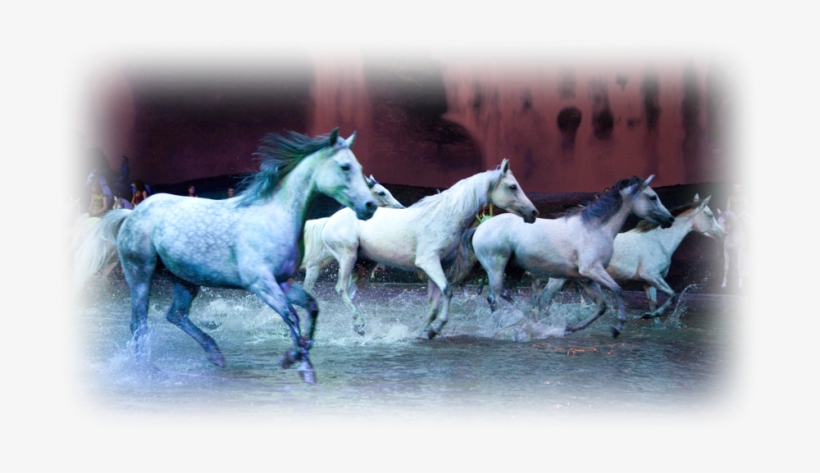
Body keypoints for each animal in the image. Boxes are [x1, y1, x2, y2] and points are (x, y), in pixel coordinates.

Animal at [78, 128, 377, 384]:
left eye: (361, 168)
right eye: (345, 167)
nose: (370, 206)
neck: (274, 217)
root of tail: (132, 213)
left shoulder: (284, 282)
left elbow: (312, 308)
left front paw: (294, 356)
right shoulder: (260, 284)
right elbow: (291, 316)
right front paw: (303, 367)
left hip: (185, 279)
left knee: (175, 315)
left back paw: (214, 354)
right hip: (139, 272)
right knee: (138, 322)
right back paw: (145, 369)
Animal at [321, 159, 539, 338]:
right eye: (512, 186)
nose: (533, 212)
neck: (444, 216)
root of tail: (330, 220)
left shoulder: (437, 266)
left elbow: (434, 305)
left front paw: (422, 332)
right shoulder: (429, 262)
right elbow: (447, 291)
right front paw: (435, 329)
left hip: (363, 265)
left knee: (350, 291)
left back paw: (357, 326)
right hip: (347, 256)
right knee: (341, 289)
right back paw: (359, 323)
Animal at [471, 175, 674, 338]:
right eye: (653, 197)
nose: (670, 219)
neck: (595, 229)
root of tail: (479, 228)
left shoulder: (586, 278)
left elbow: (602, 306)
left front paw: (569, 328)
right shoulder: (592, 270)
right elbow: (618, 290)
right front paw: (618, 328)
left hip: (510, 271)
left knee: (509, 296)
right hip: (496, 268)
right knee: (494, 298)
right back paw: (500, 328)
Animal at [536, 194, 725, 320]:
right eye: (710, 215)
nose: (724, 234)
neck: (658, 241)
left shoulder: (649, 283)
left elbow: (655, 306)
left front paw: (651, 317)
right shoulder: (652, 276)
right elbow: (673, 296)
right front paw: (648, 315)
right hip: (558, 279)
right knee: (542, 299)